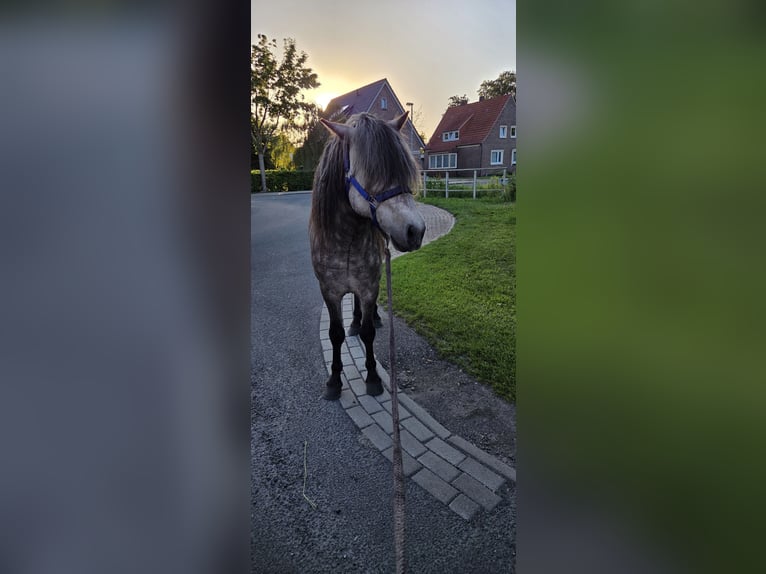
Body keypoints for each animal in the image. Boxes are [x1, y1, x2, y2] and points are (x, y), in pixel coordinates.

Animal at [309, 111, 426, 400]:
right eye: (373, 173)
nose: (416, 231)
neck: (347, 240)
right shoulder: (329, 291)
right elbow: (335, 334)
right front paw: (334, 381)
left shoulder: (369, 286)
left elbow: (368, 333)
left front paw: (372, 377)